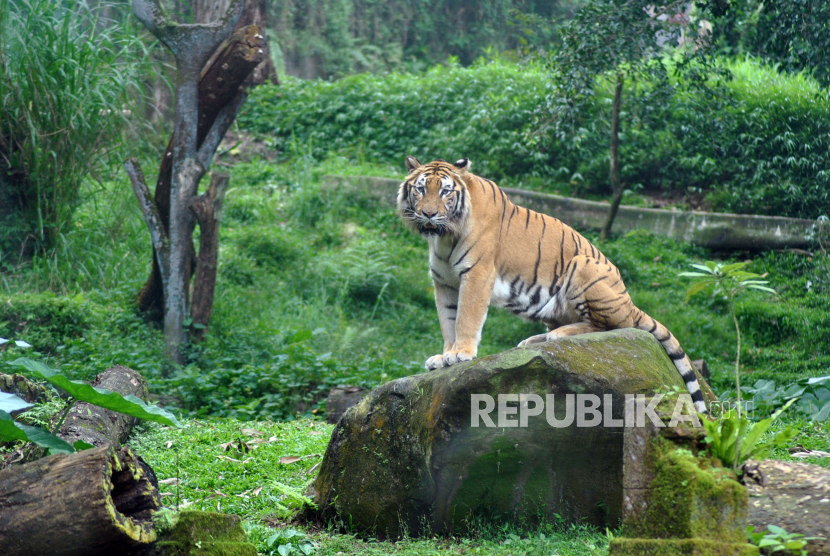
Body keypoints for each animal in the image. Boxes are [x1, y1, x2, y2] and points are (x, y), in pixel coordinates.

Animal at [398, 154, 708, 410]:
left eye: (445, 191)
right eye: (421, 189)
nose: (428, 214)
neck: (444, 236)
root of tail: (630, 303)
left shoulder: (477, 274)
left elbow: (466, 318)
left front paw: (461, 353)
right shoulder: (444, 282)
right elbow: (448, 321)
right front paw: (444, 357)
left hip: (583, 266)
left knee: (612, 326)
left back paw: (560, 335)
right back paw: (533, 340)